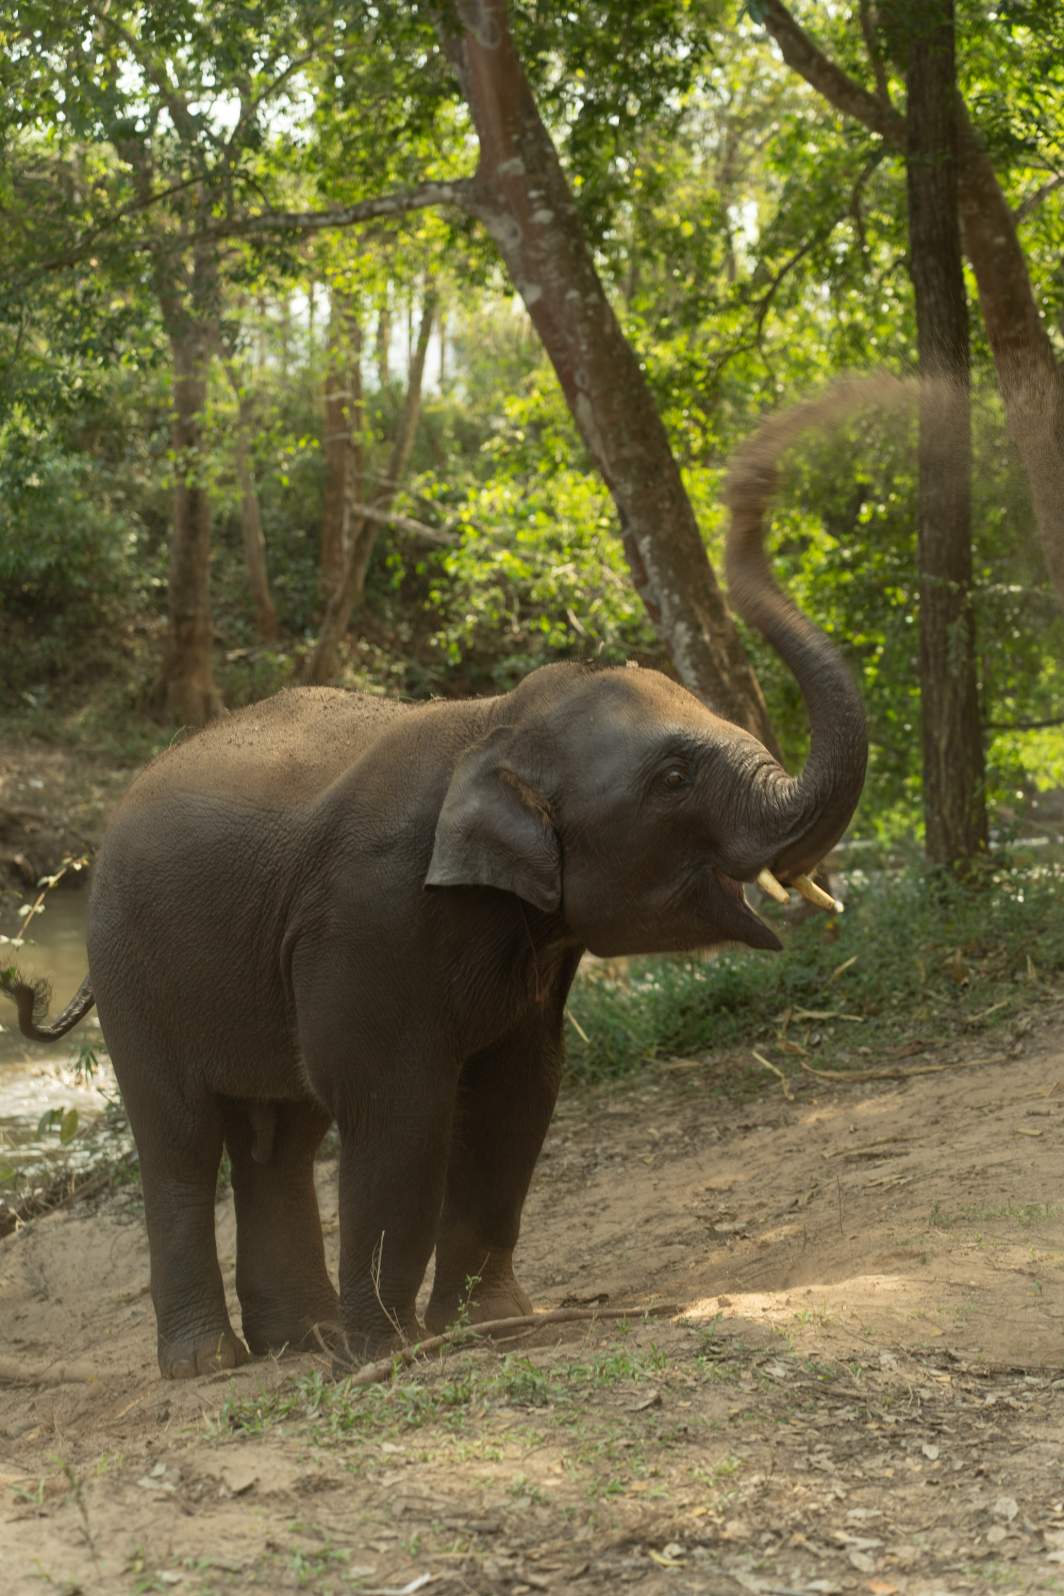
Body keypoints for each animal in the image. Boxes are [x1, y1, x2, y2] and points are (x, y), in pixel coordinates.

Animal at [4, 387, 870, 1379]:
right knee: (183, 1142)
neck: (490, 724)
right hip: (130, 969)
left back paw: (303, 1340)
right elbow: (399, 1108)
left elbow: (519, 1094)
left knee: (278, 1140)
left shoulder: (528, 940)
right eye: (675, 777)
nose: (759, 477)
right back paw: (214, 1364)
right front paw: (393, 1355)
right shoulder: (372, 915)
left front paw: (493, 1324)